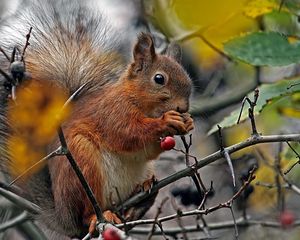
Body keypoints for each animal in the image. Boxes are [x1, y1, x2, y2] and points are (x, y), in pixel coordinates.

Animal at [0, 0, 193, 238]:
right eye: (159, 79)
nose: (183, 108)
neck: (135, 99)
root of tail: (64, 218)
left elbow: (147, 150)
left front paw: (188, 122)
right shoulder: (112, 113)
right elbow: (128, 134)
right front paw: (166, 121)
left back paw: (141, 198)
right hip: (82, 165)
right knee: (86, 212)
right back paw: (98, 216)